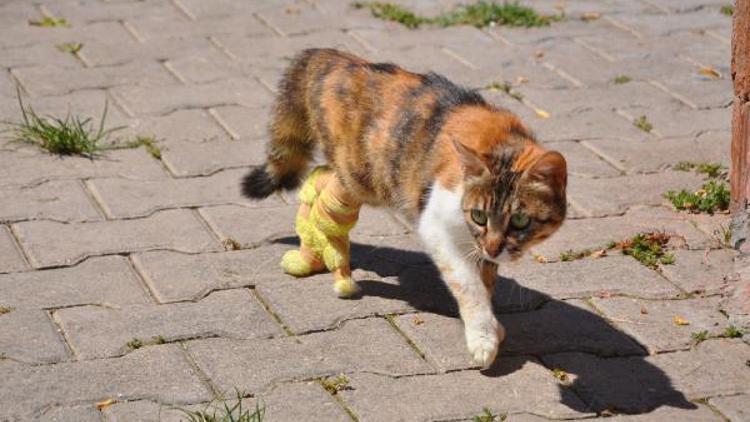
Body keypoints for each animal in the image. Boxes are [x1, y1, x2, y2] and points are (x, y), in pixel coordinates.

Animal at [244, 48, 568, 366]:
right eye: (479, 215)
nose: (493, 247)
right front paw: (482, 336)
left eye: (521, 221)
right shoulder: (436, 225)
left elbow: (484, 280)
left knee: (320, 178)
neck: (504, 145)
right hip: (360, 176)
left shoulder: (479, 246)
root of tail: (332, 57)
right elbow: (468, 283)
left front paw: (490, 325)